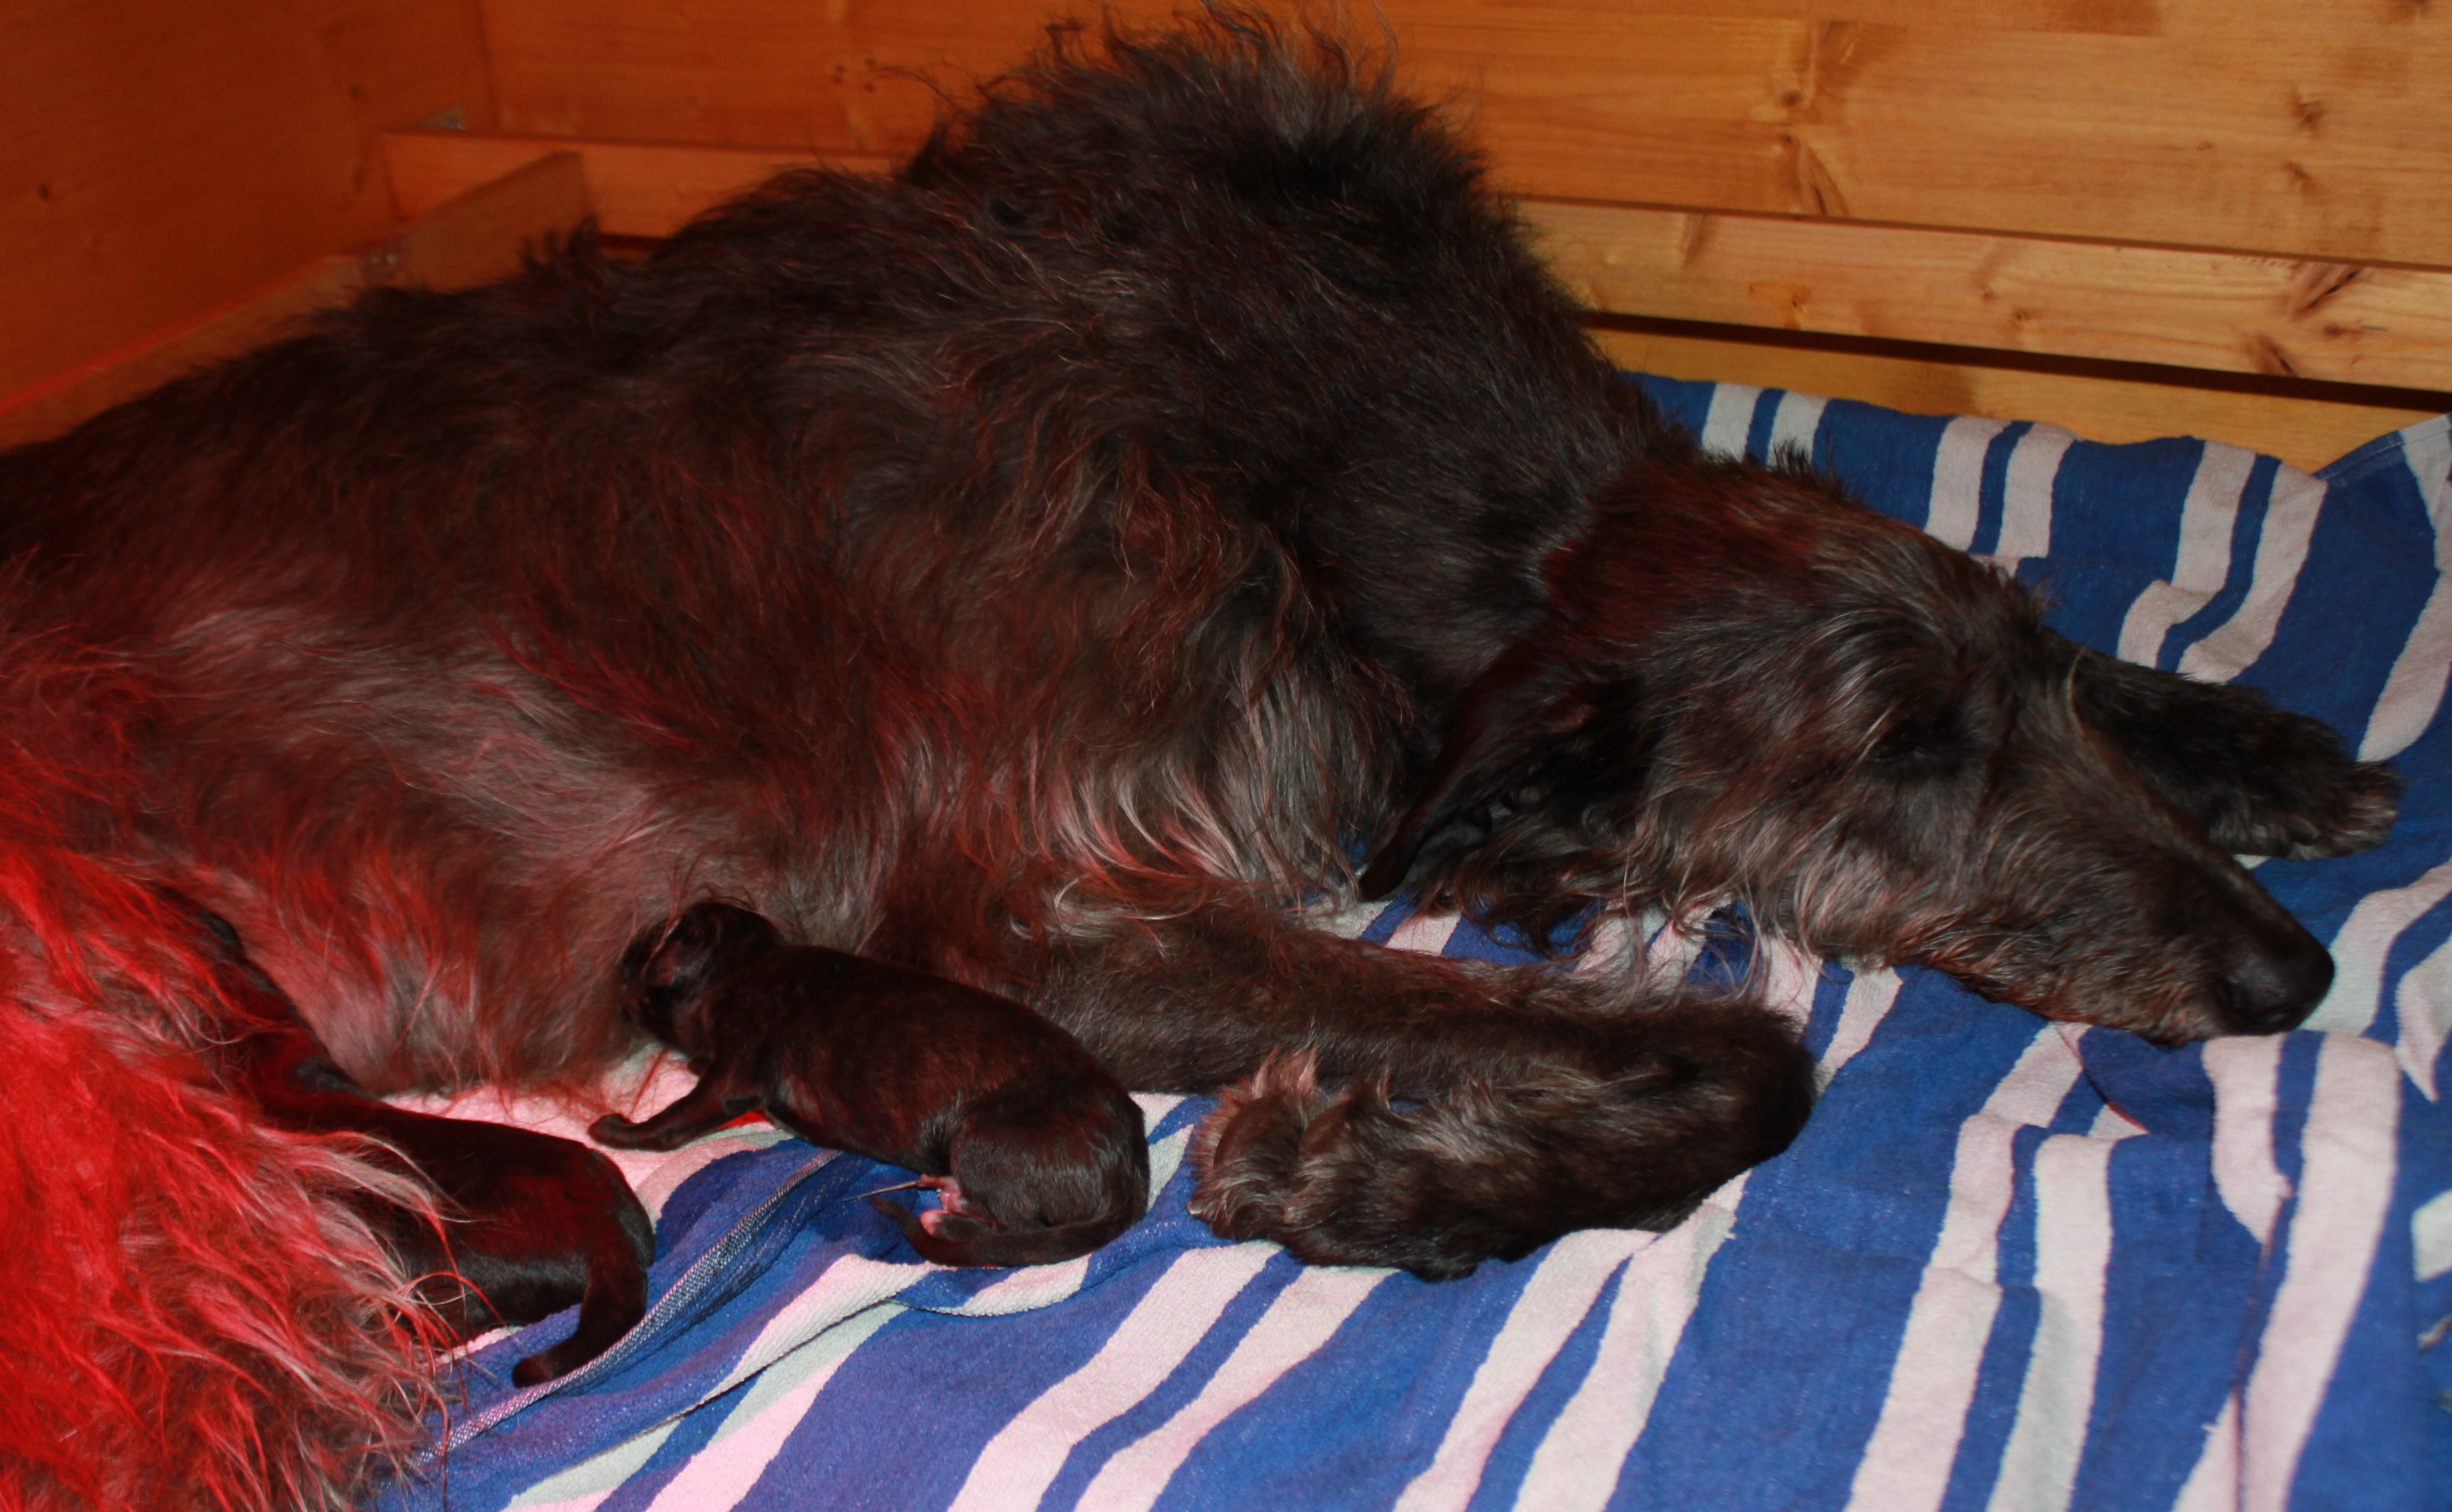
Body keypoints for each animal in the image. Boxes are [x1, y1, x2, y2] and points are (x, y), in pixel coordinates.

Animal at [592, 902, 1148, 1266]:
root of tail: (1132, 1169)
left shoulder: (735, 1070)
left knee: (1017, 1226)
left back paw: (947, 1219)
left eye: (653, 945)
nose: (624, 951)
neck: (746, 964)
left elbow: (672, 1119)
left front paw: (614, 1130)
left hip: (985, 1140)